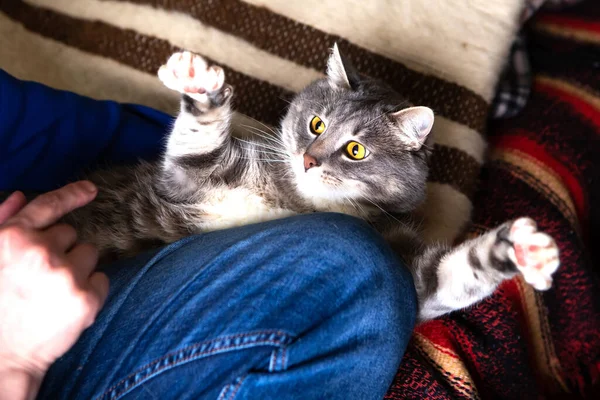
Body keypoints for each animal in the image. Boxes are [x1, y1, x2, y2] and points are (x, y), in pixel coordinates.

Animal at [61, 45, 556, 324]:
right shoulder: (184, 180)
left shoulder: (412, 274)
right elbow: (196, 143)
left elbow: (454, 274)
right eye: (316, 124)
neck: (303, 203)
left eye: (355, 149)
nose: (307, 159)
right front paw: (202, 87)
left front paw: (520, 249)